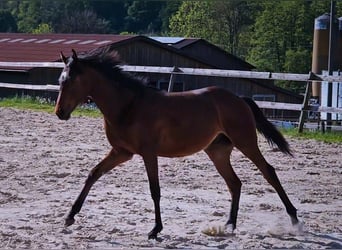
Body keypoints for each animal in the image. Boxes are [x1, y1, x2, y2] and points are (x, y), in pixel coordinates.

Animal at [55, 47, 300, 239]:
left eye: (70, 80)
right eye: (60, 80)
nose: (60, 113)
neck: (129, 106)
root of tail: (239, 99)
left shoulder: (148, 153)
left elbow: (155, 190)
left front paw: (155, 230)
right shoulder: (121, 152)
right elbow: (93, 174)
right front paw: (69, 216)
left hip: (246, 142)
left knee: (268, 172)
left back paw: (295, 220)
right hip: (218, 152)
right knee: (235, 183)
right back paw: (230, 225)